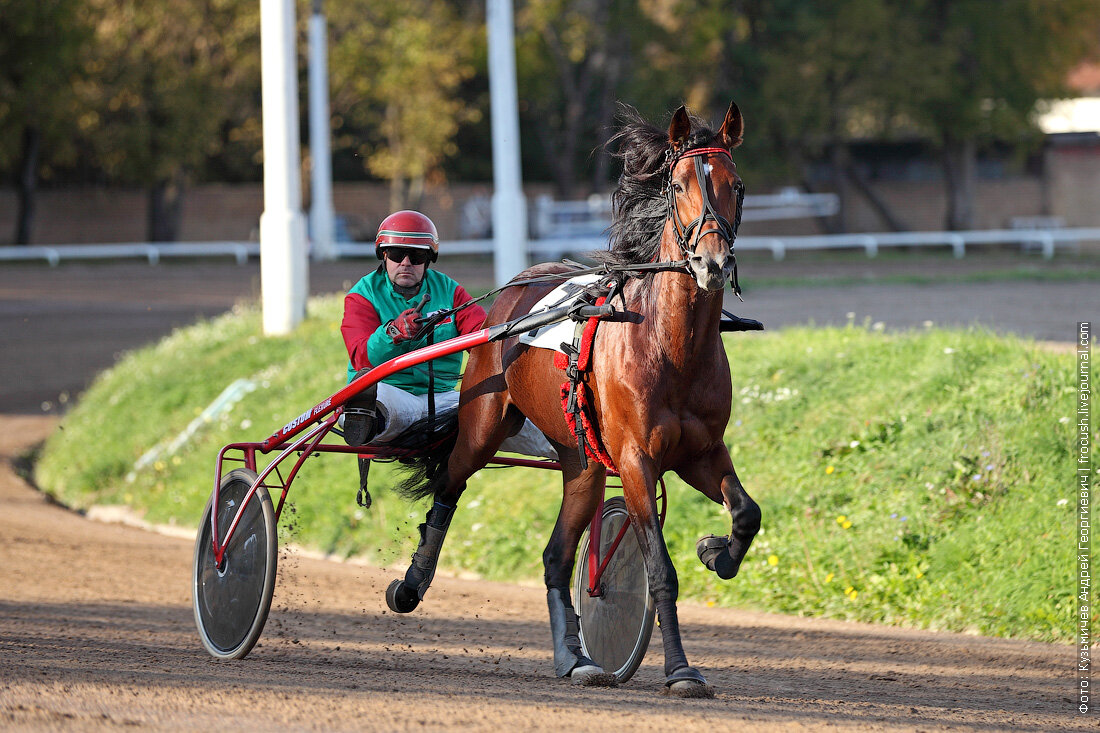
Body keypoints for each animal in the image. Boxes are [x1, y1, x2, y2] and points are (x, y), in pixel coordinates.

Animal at [385, 101, 756, 691]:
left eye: (736, 185)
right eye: (677, 185)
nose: (713, 264)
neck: (668, 343)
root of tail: (514, 288)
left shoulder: (701, 452)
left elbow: (746, 513)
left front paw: (717, 551)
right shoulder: (636, 460)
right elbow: (660, 571)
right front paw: (679, 669)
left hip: (581, 463)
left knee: (556, 557)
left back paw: (574, 658)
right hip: (484, 426)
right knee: (448, 484)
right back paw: (411, 585)